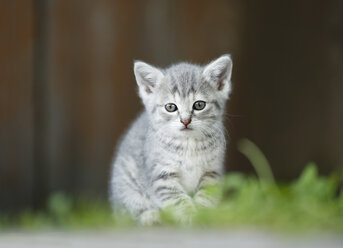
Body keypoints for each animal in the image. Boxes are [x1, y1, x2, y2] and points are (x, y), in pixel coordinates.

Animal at [110, 54, 234, 225]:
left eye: (199, 105)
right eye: (170, 107)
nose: (185, 121)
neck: (189, 144)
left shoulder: (212, 172)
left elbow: (206, 196)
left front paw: (203, 215)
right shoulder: (161, 176)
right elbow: (178, 200)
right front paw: (190, 216)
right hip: (126, 185)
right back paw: (151, 216)